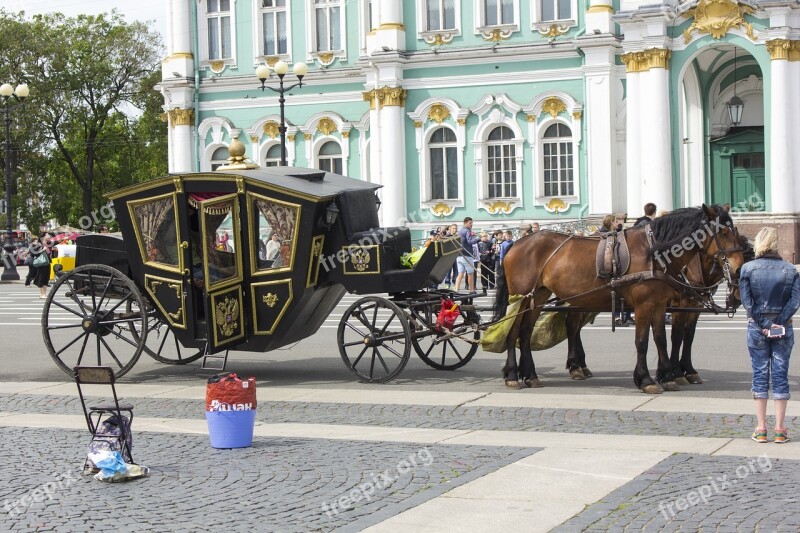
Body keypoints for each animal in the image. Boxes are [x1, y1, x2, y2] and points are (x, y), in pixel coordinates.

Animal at [496, 206, 748, 392]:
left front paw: (668, 375)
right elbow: (646, 341)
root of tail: (515, 244)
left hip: (539, 296)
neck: (654, 252)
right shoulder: (648, 305)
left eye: (736, 233)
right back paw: (513, 374)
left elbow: (663, 339)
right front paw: (648, 378)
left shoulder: (661, 305)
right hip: (522, 298)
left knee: (528, 331)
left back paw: (533, 374)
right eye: (723, 232)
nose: (737, 271)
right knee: (515, 331)